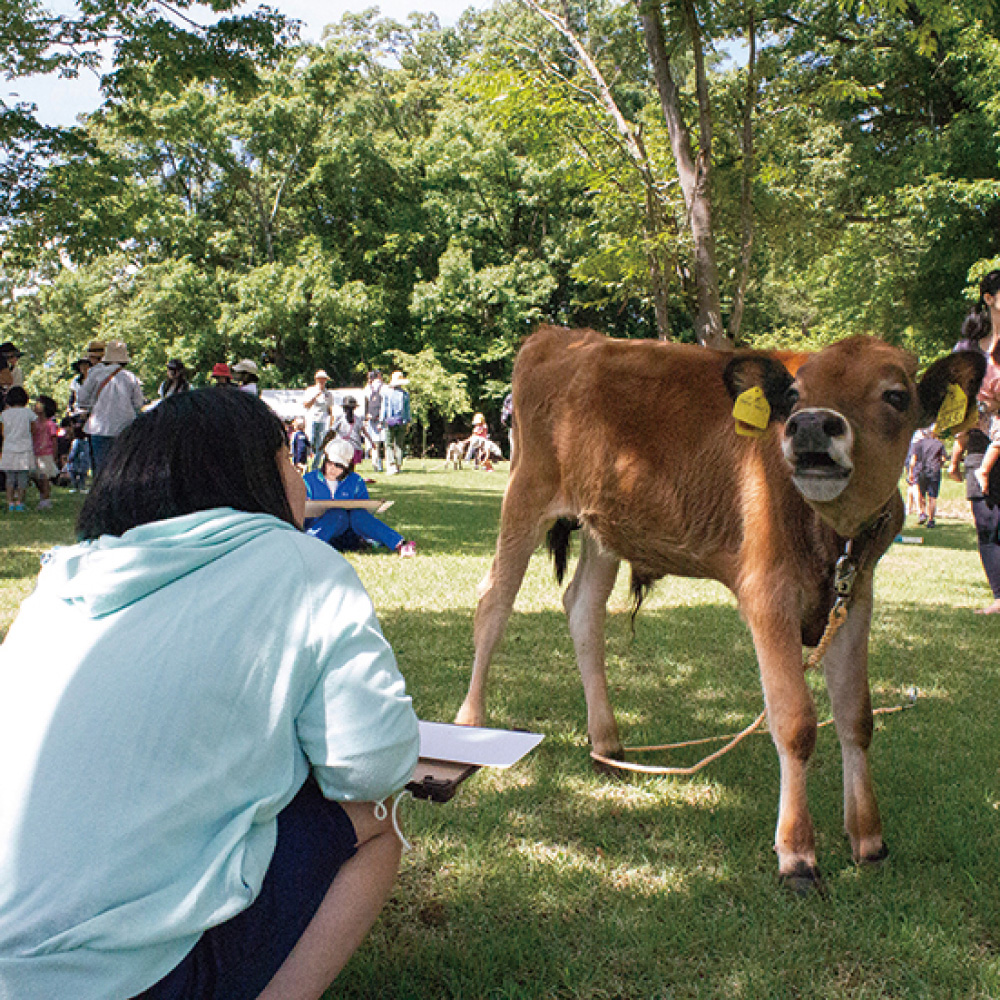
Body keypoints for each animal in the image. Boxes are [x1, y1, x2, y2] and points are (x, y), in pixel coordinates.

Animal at [458, 326, 984, 884]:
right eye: (794, 394)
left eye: (896, 395)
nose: (809, 426)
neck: (831, 535)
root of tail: (562, 336)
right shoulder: (767, 592)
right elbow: (795, 721)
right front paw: (797, 855)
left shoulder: (855, 597)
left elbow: (856, 716)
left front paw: (868, 838)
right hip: (526, 494)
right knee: (493, 603)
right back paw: (469, 728)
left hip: (606, 526)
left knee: (583, 608)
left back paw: (607, 745)